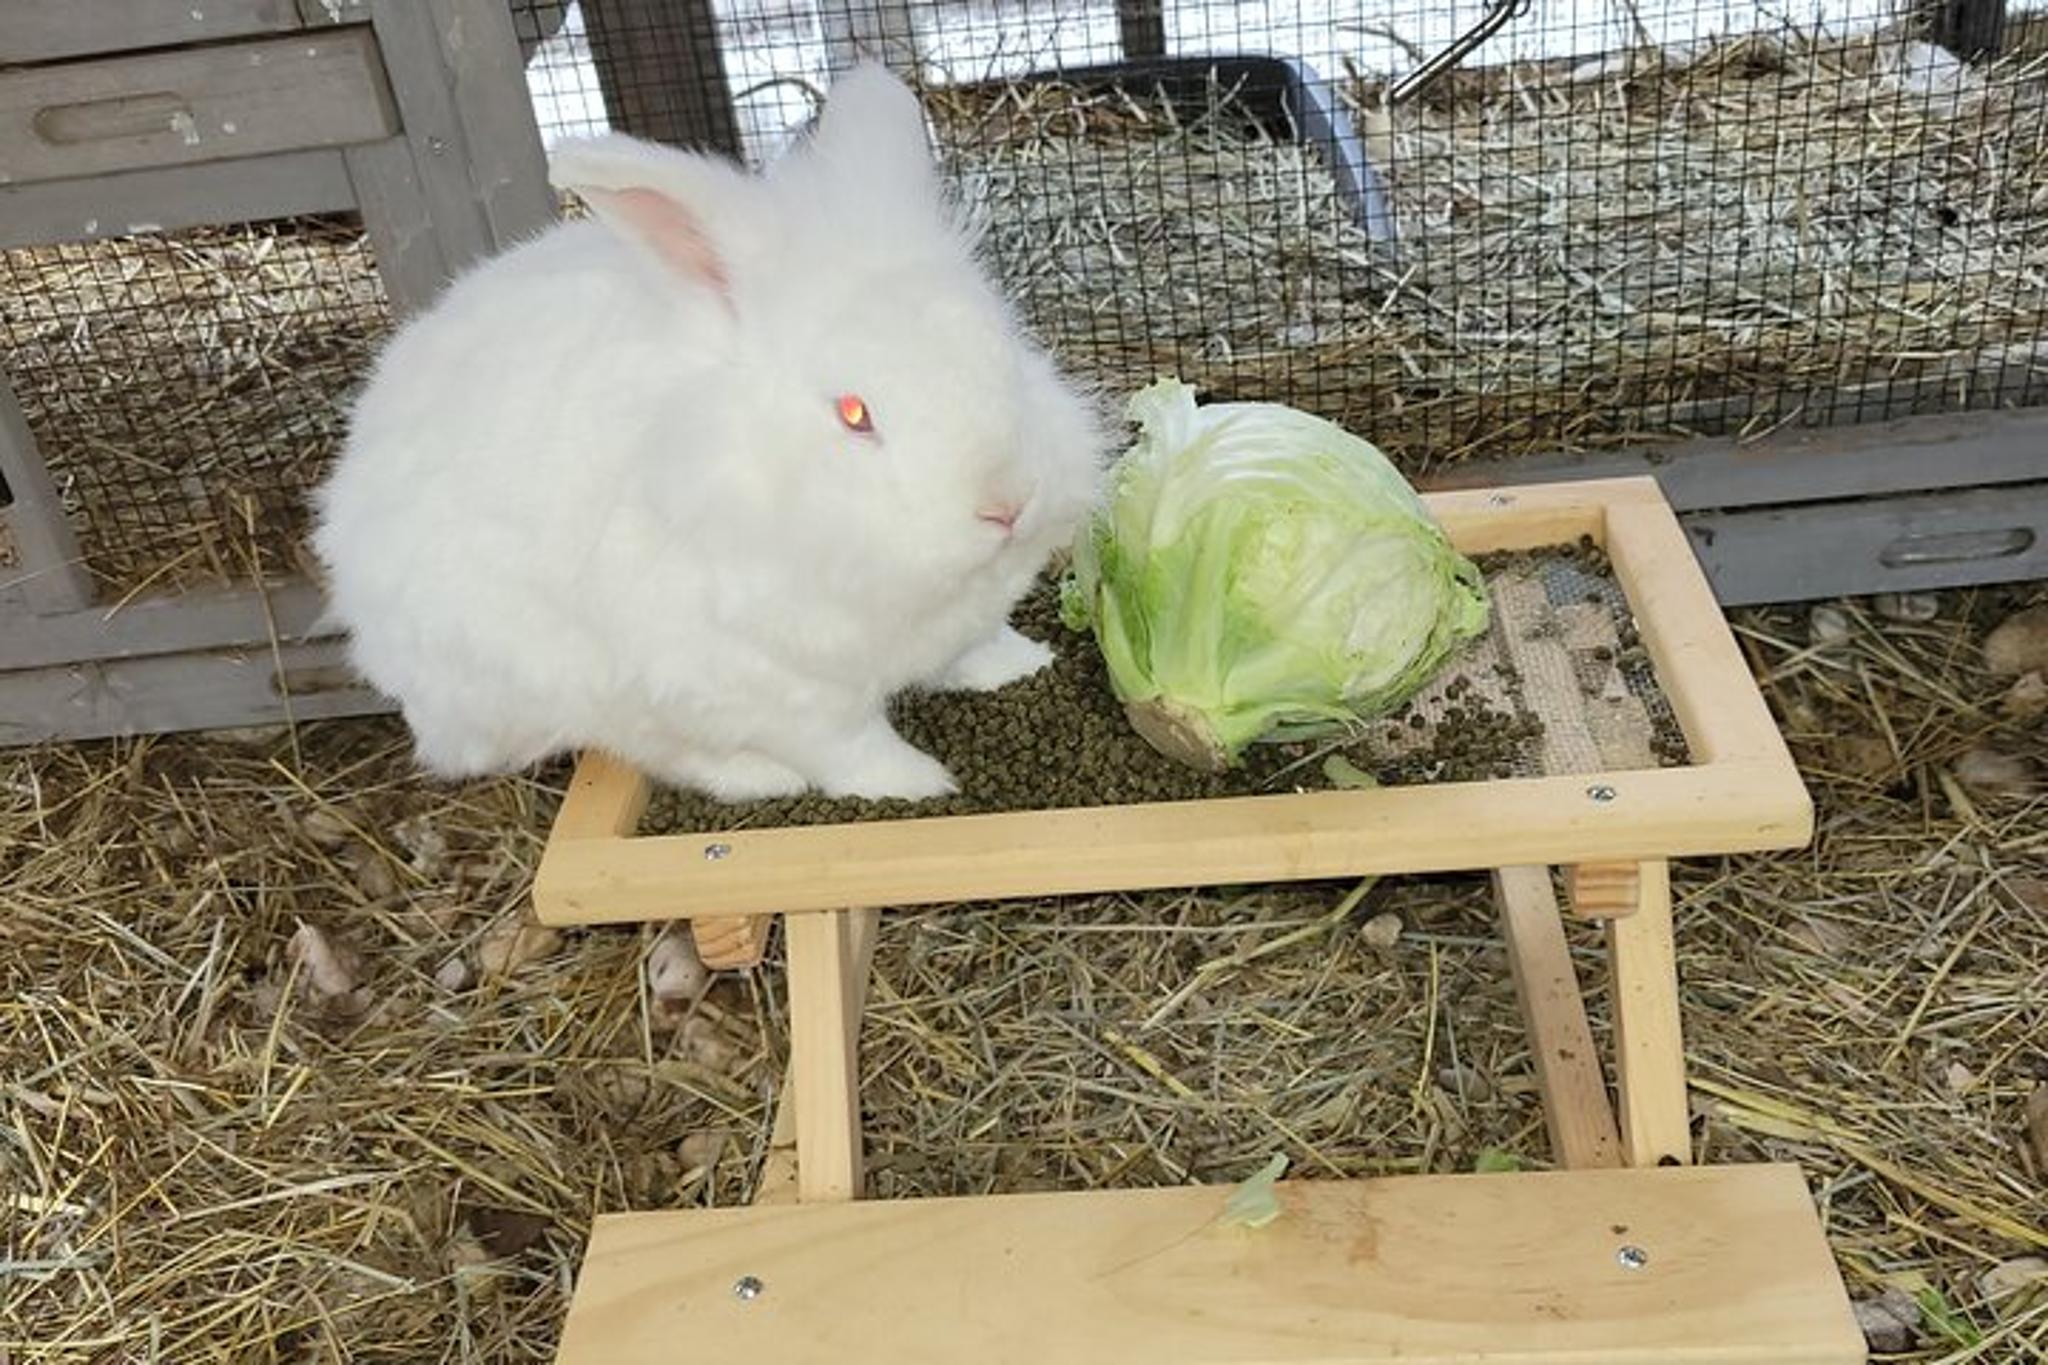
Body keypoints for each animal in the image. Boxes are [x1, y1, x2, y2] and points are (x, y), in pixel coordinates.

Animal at [309, 63, 1109, 803]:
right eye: (854, 414)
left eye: (1002, 352)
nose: (1006, 504)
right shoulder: (774, 687)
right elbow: (850, 747)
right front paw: (919, 787)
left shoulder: (960, 626)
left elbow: (976, 651)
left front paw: (1025, 665)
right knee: (657, 748)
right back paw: (761, 778)